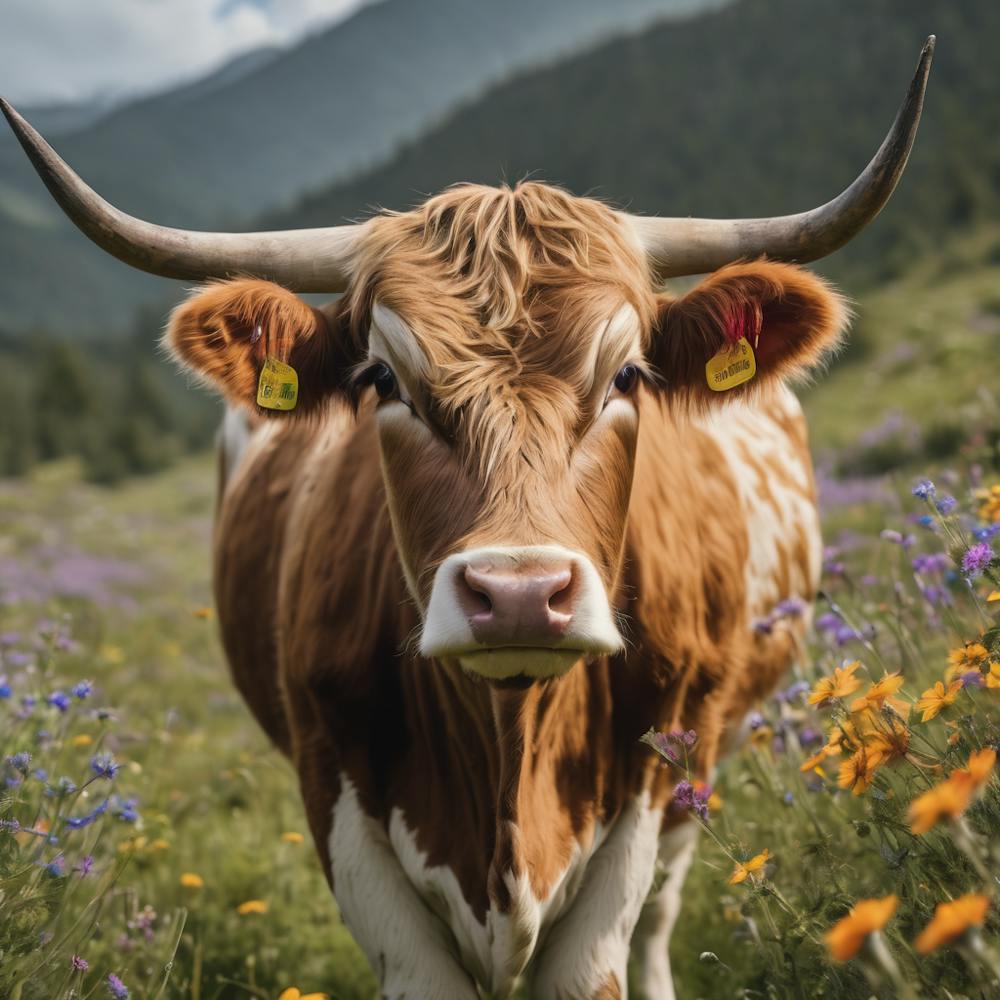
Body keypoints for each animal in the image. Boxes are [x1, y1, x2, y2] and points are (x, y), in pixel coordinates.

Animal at [1, 37, 933, 1000]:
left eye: (627, 375)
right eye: (383, 379)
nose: (519, 594)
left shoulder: (651, 777)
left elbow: (607, 950)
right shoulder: (334, 790)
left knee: (663, 915)